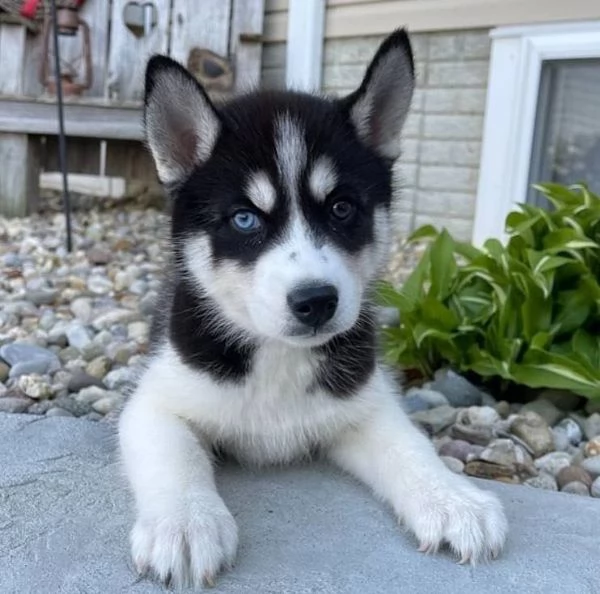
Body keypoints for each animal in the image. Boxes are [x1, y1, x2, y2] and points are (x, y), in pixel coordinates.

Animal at [117, 28, 506, 588]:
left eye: (342, 208)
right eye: (244, 219)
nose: (316, 301)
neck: (278, 356)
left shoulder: (365, 401)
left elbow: (410, 445)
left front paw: (453, 498)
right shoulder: (154, 400)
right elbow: (175, 456)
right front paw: (186, 523)